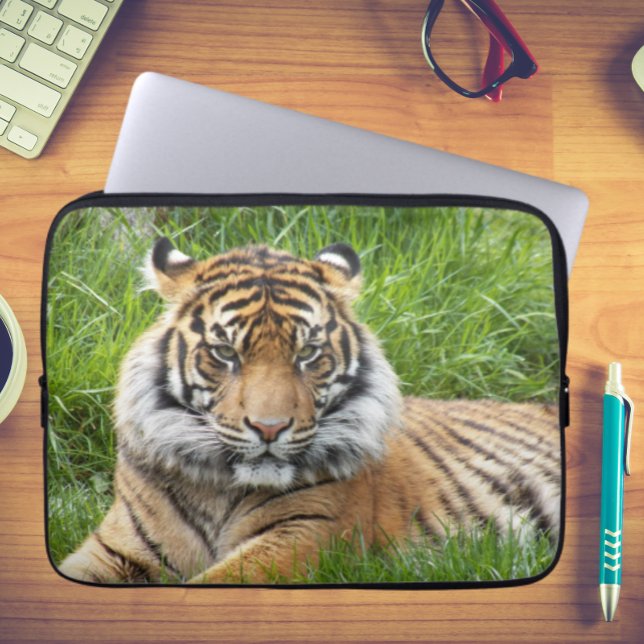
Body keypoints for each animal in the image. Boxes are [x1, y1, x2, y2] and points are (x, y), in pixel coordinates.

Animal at [58, 238, 561, 584]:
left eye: (307, 353)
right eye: (225, 353)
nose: (269, 428)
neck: (218, 490)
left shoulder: (305, 535)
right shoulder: (116, 546)